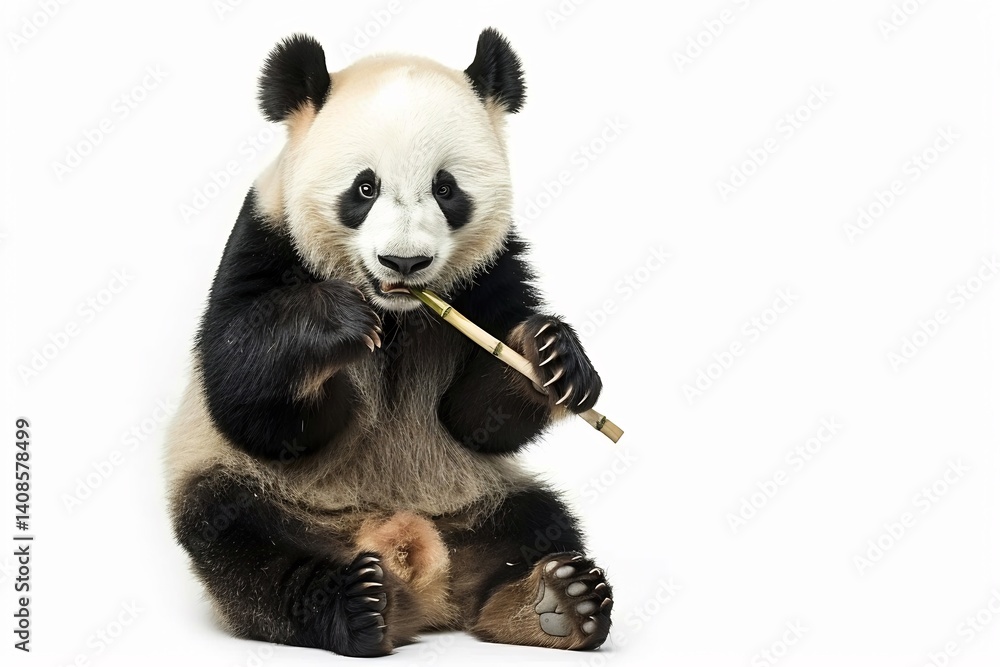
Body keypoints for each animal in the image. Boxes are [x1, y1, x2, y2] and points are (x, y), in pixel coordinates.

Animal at [166, 28, 612, 657]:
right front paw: (336, 324)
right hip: (249, 488)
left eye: (446, 189)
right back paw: (352, 606)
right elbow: (249, 402)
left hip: (480, 495)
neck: (397, 312)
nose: (405, 262)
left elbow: (474, 419)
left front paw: (551, 354)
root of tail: (414, 572)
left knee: (538, 521)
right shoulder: (265, 238)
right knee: (243, 543)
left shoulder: (492, 271)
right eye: (365, 187)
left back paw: (554, 601)